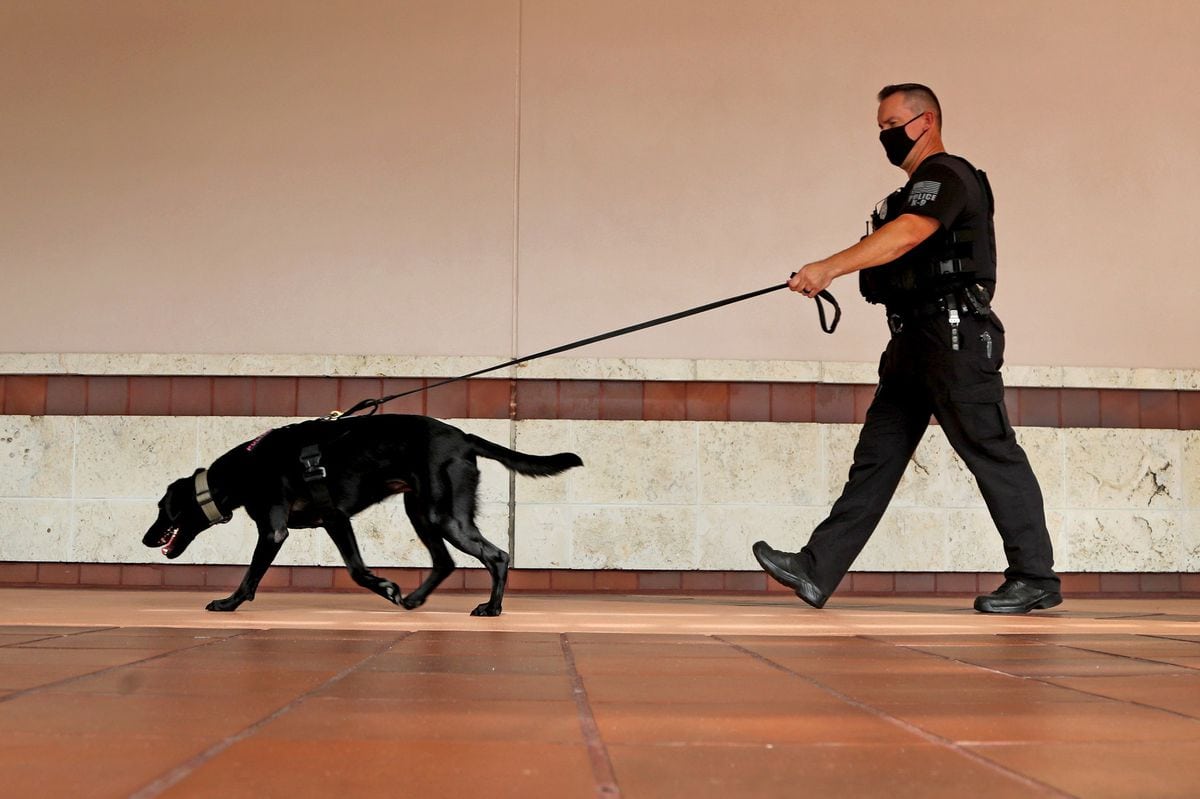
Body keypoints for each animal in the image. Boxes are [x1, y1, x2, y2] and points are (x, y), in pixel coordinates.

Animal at [140, 412, 580, 611]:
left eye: (163, 510)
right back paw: (414, 600)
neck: (243, 470)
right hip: (421, 512)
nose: (145, 538)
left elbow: (251, 576)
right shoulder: (335, 519)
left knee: (497, 555)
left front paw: (229, 603)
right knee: (444, 562)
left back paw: (492, 608)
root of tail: (465, 438)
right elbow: (355, 569)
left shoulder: (273, 531)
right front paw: (386, 587)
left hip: (444, 516)